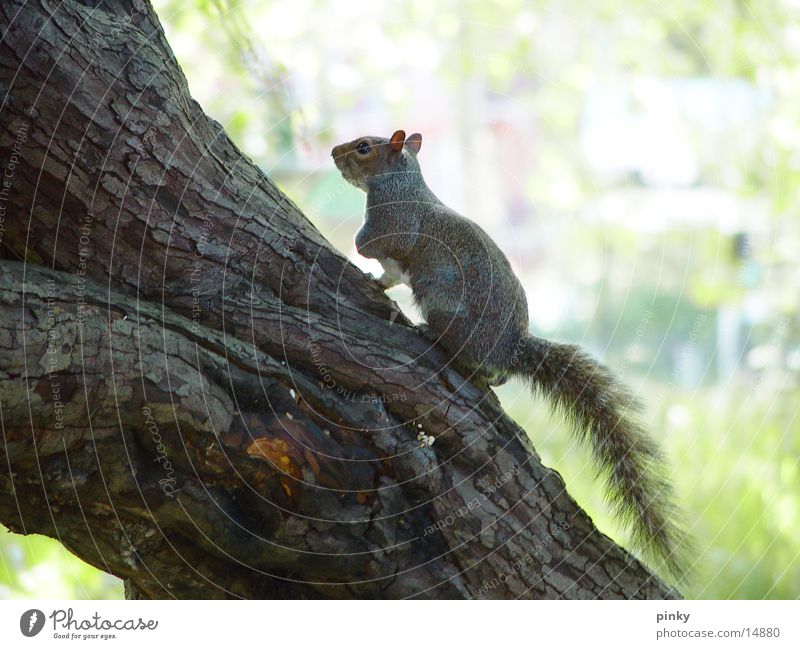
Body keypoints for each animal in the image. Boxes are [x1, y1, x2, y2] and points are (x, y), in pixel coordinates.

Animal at [330, 129, 688, 580]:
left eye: (364, 147)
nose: (333, 152)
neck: (403, 182)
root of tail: (511, 348)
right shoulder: (396, 258)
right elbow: (389, 276)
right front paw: (374, 281)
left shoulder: (392, 225)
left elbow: (374, 244)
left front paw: (361, 257)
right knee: (497, 377)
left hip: (443, 304)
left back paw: (433, 336)